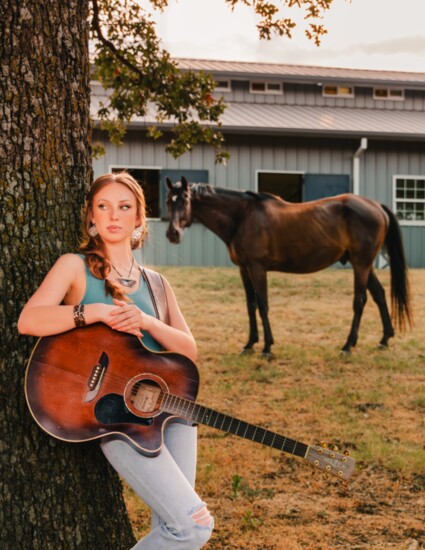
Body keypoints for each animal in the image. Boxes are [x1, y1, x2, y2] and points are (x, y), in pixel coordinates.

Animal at [164, 177, 410, 358]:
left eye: (185, 199)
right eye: (168, 201)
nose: (172, 234)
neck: (243, 216)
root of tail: (376, 206)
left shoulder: (257, 267)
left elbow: (262, 305)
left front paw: (267, 348)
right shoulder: (244, 268)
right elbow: (250, 305)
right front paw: (250, 344)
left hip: (361, 264)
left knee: (360, 301)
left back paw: (348, 346)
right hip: (365, 265)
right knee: (379, 295)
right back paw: (384, 339)